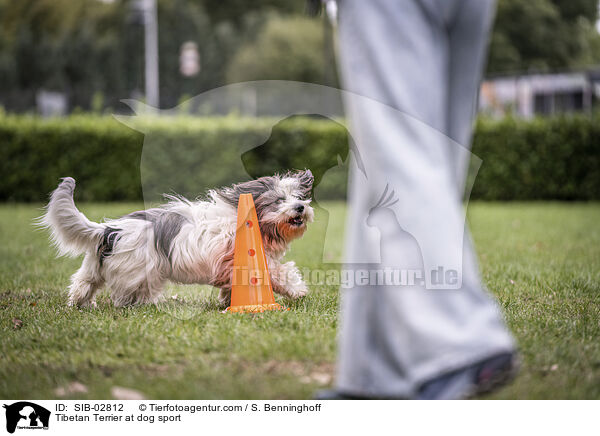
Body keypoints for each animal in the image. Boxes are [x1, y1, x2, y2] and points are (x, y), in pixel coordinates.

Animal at [41, 170, 314, 306]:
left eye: (298, 196)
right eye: (279, 201)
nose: (300, 207)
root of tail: (109, 230)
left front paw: (227, 300)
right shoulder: (237, 259)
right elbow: (277, 272)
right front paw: (297, 290)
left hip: (95, 266)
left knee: (83, 283)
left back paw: (81, 303)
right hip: (138, 272)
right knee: (123, 295)